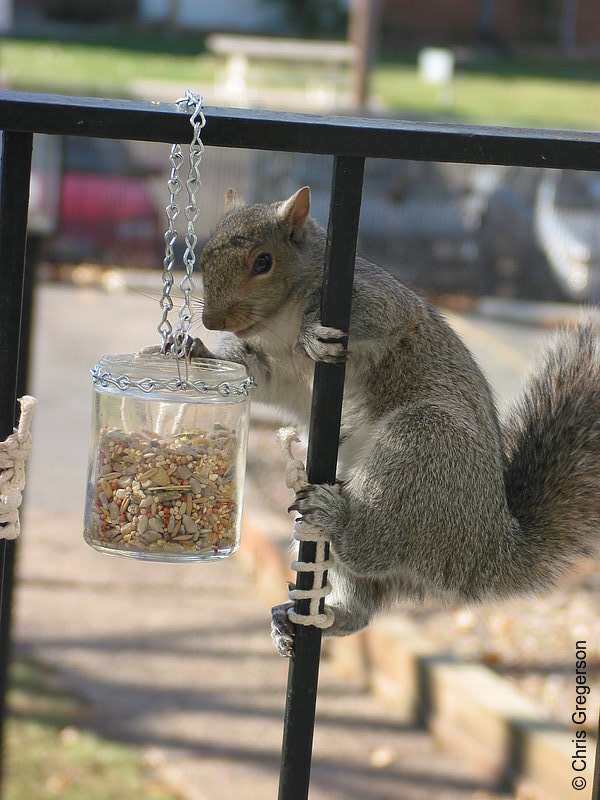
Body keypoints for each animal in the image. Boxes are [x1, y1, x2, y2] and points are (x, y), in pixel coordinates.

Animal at [190, 186, 600, 656]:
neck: (279, 321)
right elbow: (255, 373)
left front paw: (312, 333)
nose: (212, 321)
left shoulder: (376, 300)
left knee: (373, 547)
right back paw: (300, 620)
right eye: (205, 254)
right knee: (361, 603)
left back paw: (338, 521)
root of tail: (488, 548)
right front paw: (196, 349)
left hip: (422, 446)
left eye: (263, 262)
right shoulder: (275, 365)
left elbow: (376, 317)